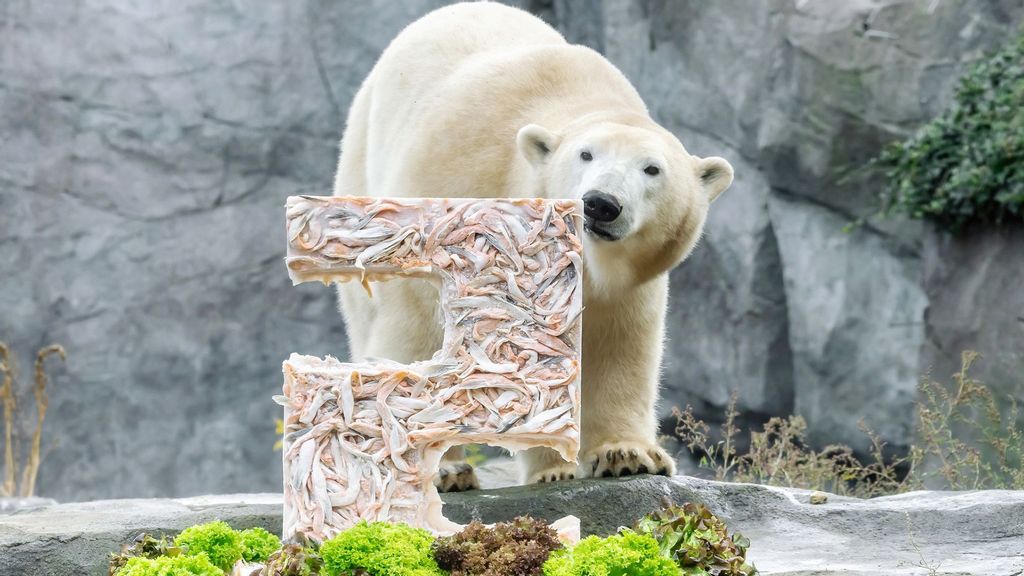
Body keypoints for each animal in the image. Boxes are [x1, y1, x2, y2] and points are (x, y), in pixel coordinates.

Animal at [332, 1, 733, 491]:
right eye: (586, 155)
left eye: (652, 169)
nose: (602, 204)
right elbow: (427, 323)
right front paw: (444, 466)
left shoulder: (625, 284)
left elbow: (619, 345)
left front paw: (625, 453)